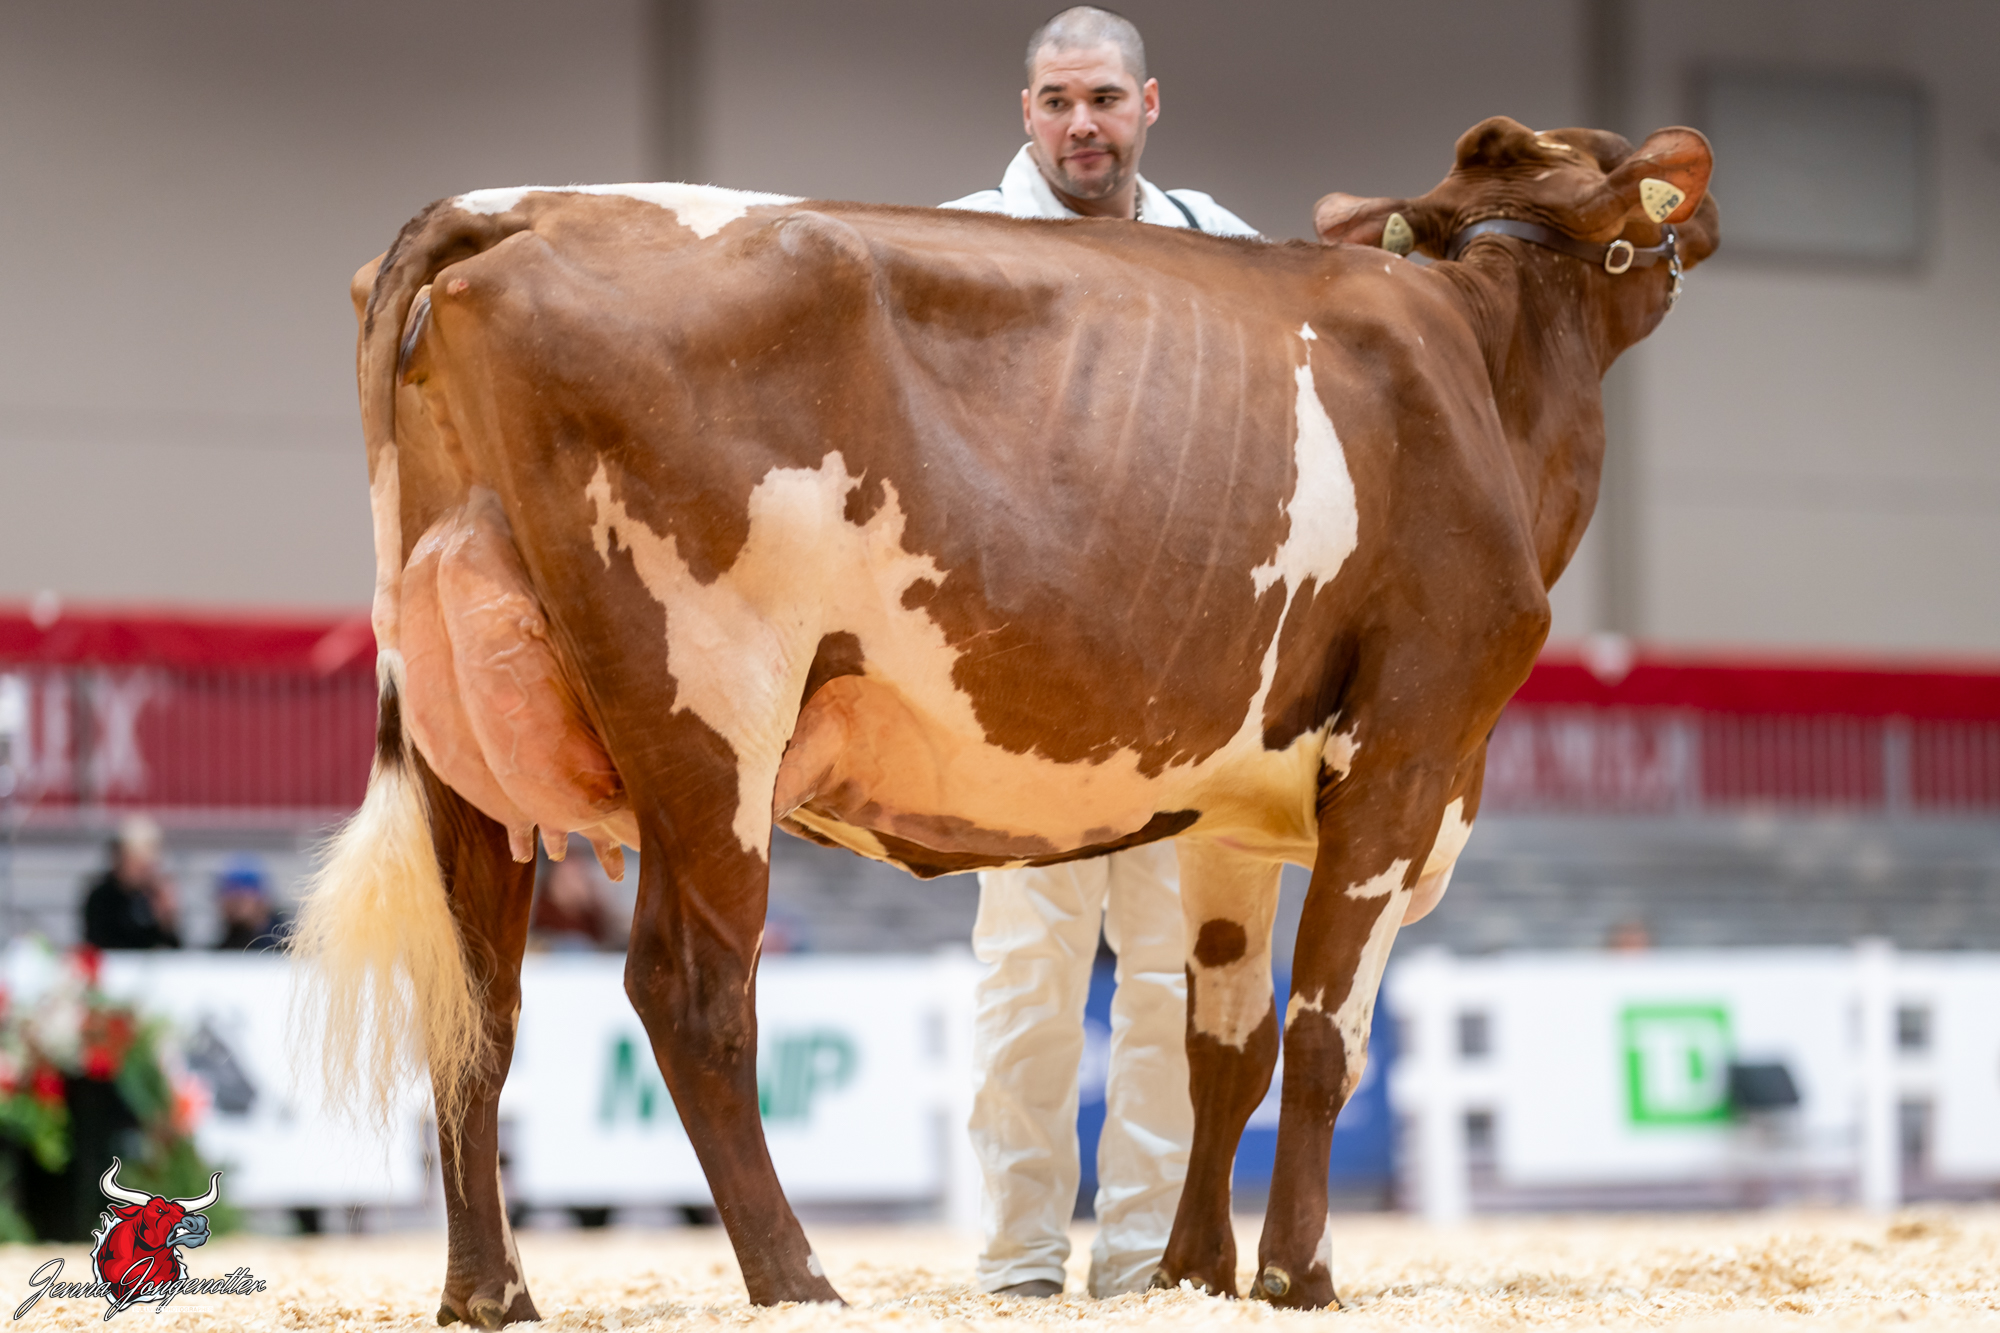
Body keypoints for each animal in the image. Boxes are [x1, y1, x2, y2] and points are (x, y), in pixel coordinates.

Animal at [295, 114, 1715, 1318]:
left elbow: (1225, 1047)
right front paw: (1296, 1276)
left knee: (475, 1002)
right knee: (690, 989)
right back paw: (795, 1278)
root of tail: (515, 206)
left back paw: (490, 1292)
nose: (1702, 230)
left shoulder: (1238, 811)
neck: (1482, 369)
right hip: (710, 704)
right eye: (1627, 183)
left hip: (462, 746)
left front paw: (1188, 1273)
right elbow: (1323, 1038)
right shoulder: (1407, 748)